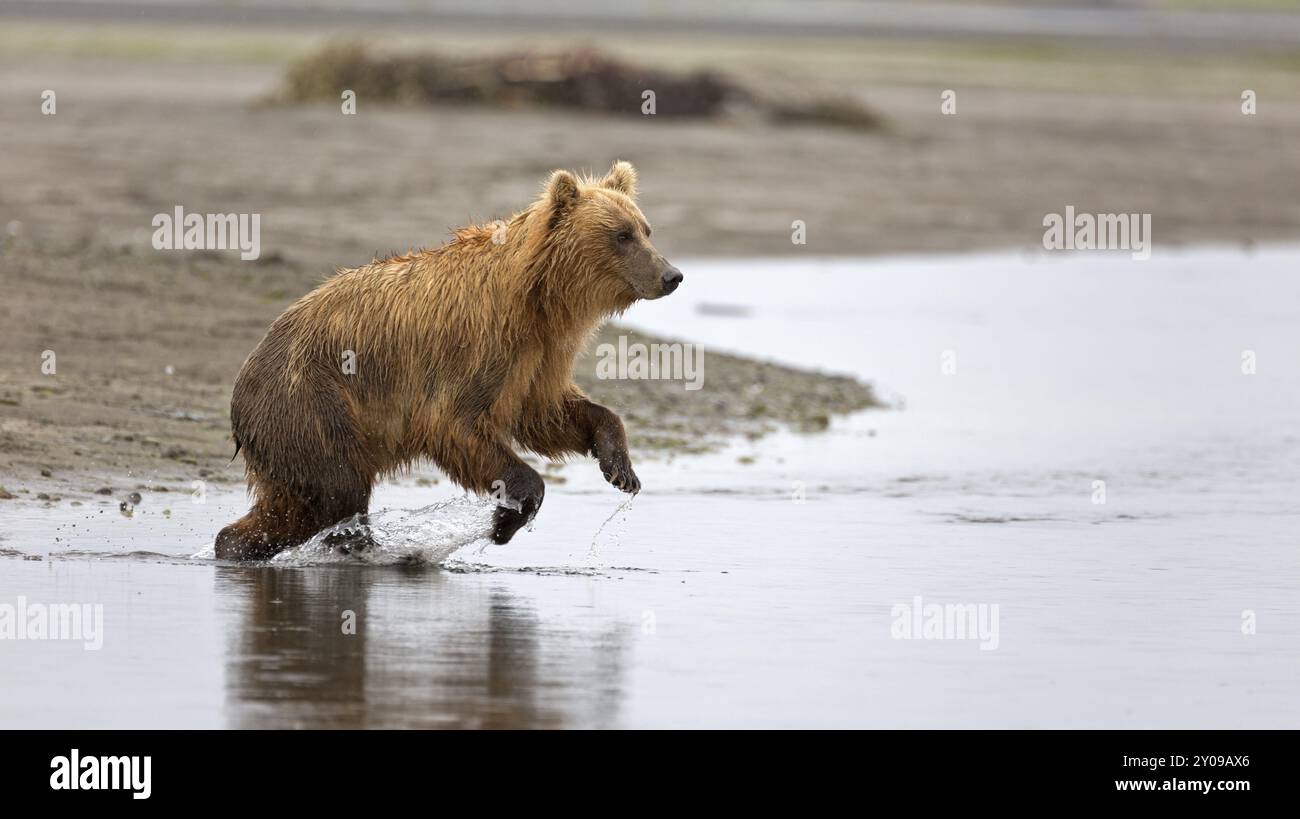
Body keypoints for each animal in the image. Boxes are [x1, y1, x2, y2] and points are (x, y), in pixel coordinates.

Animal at [213, 161, 681, 559]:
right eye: (622, 235)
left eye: (646, 229)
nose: (672, 275)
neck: (538, 298)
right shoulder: (475, 346)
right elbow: (455, 423)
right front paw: (506, 518)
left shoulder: (540, 356)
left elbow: (546, 413)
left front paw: (621, 468)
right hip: (311, 401)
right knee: (336, 490)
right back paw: (351, 546)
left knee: (296, 501)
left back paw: (237, 544)